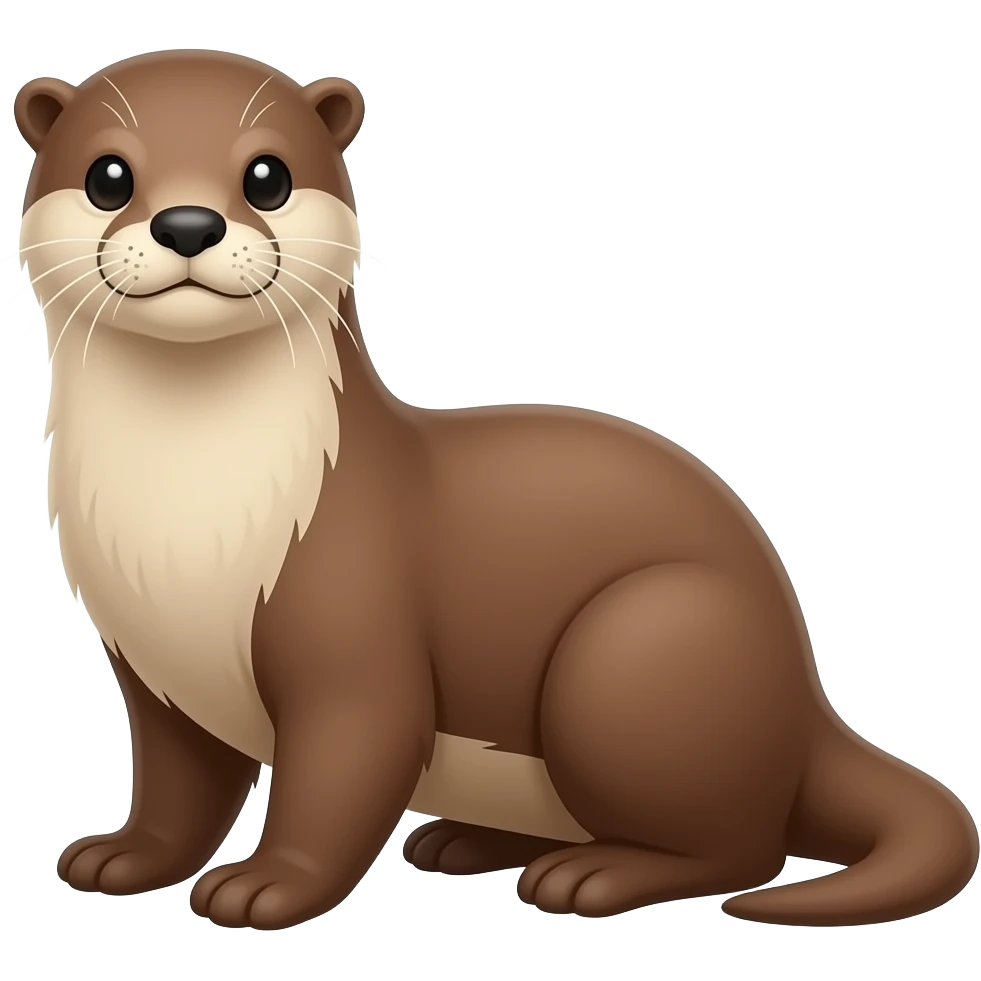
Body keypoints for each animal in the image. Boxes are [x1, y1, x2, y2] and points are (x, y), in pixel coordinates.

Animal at [19, 50, 977, 930]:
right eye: (109, 175)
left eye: (267, 175)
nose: (189, 222)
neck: (189, 535)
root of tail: (806, 698)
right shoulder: (153, 668)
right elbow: (178, 784)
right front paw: (124, 855)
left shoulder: (355, 636)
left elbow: (340, 775)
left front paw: (267, 884)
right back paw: (465, 840)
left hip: (645, 644)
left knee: (743, 847)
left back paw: (591, 875)